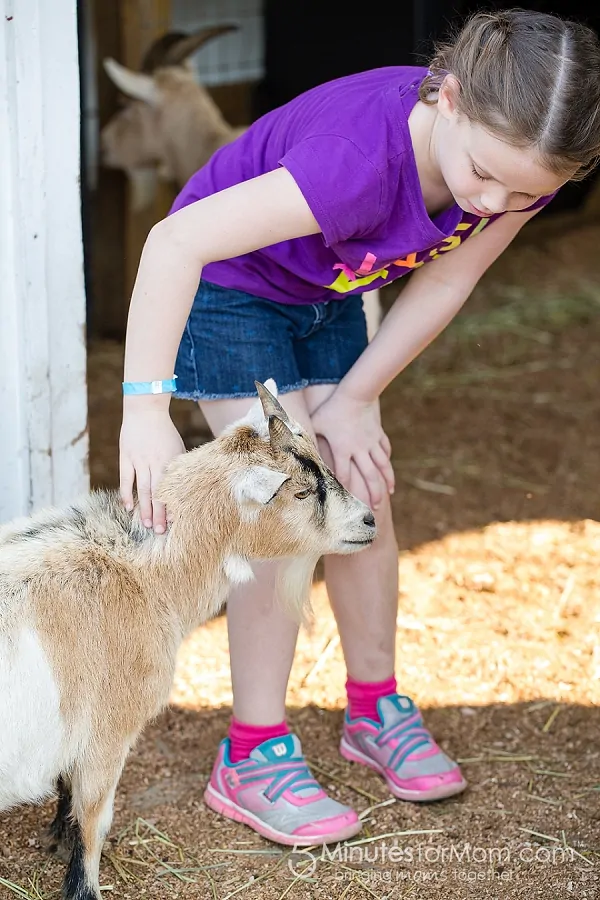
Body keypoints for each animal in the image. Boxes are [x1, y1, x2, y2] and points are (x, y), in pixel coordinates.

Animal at [0, 384, 376, 900]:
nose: (370, 520)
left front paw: (55, 838)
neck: (140, 570)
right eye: (300, 491)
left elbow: (67, 793)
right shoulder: (107, 731)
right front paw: (83, 887)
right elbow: (93, 819)